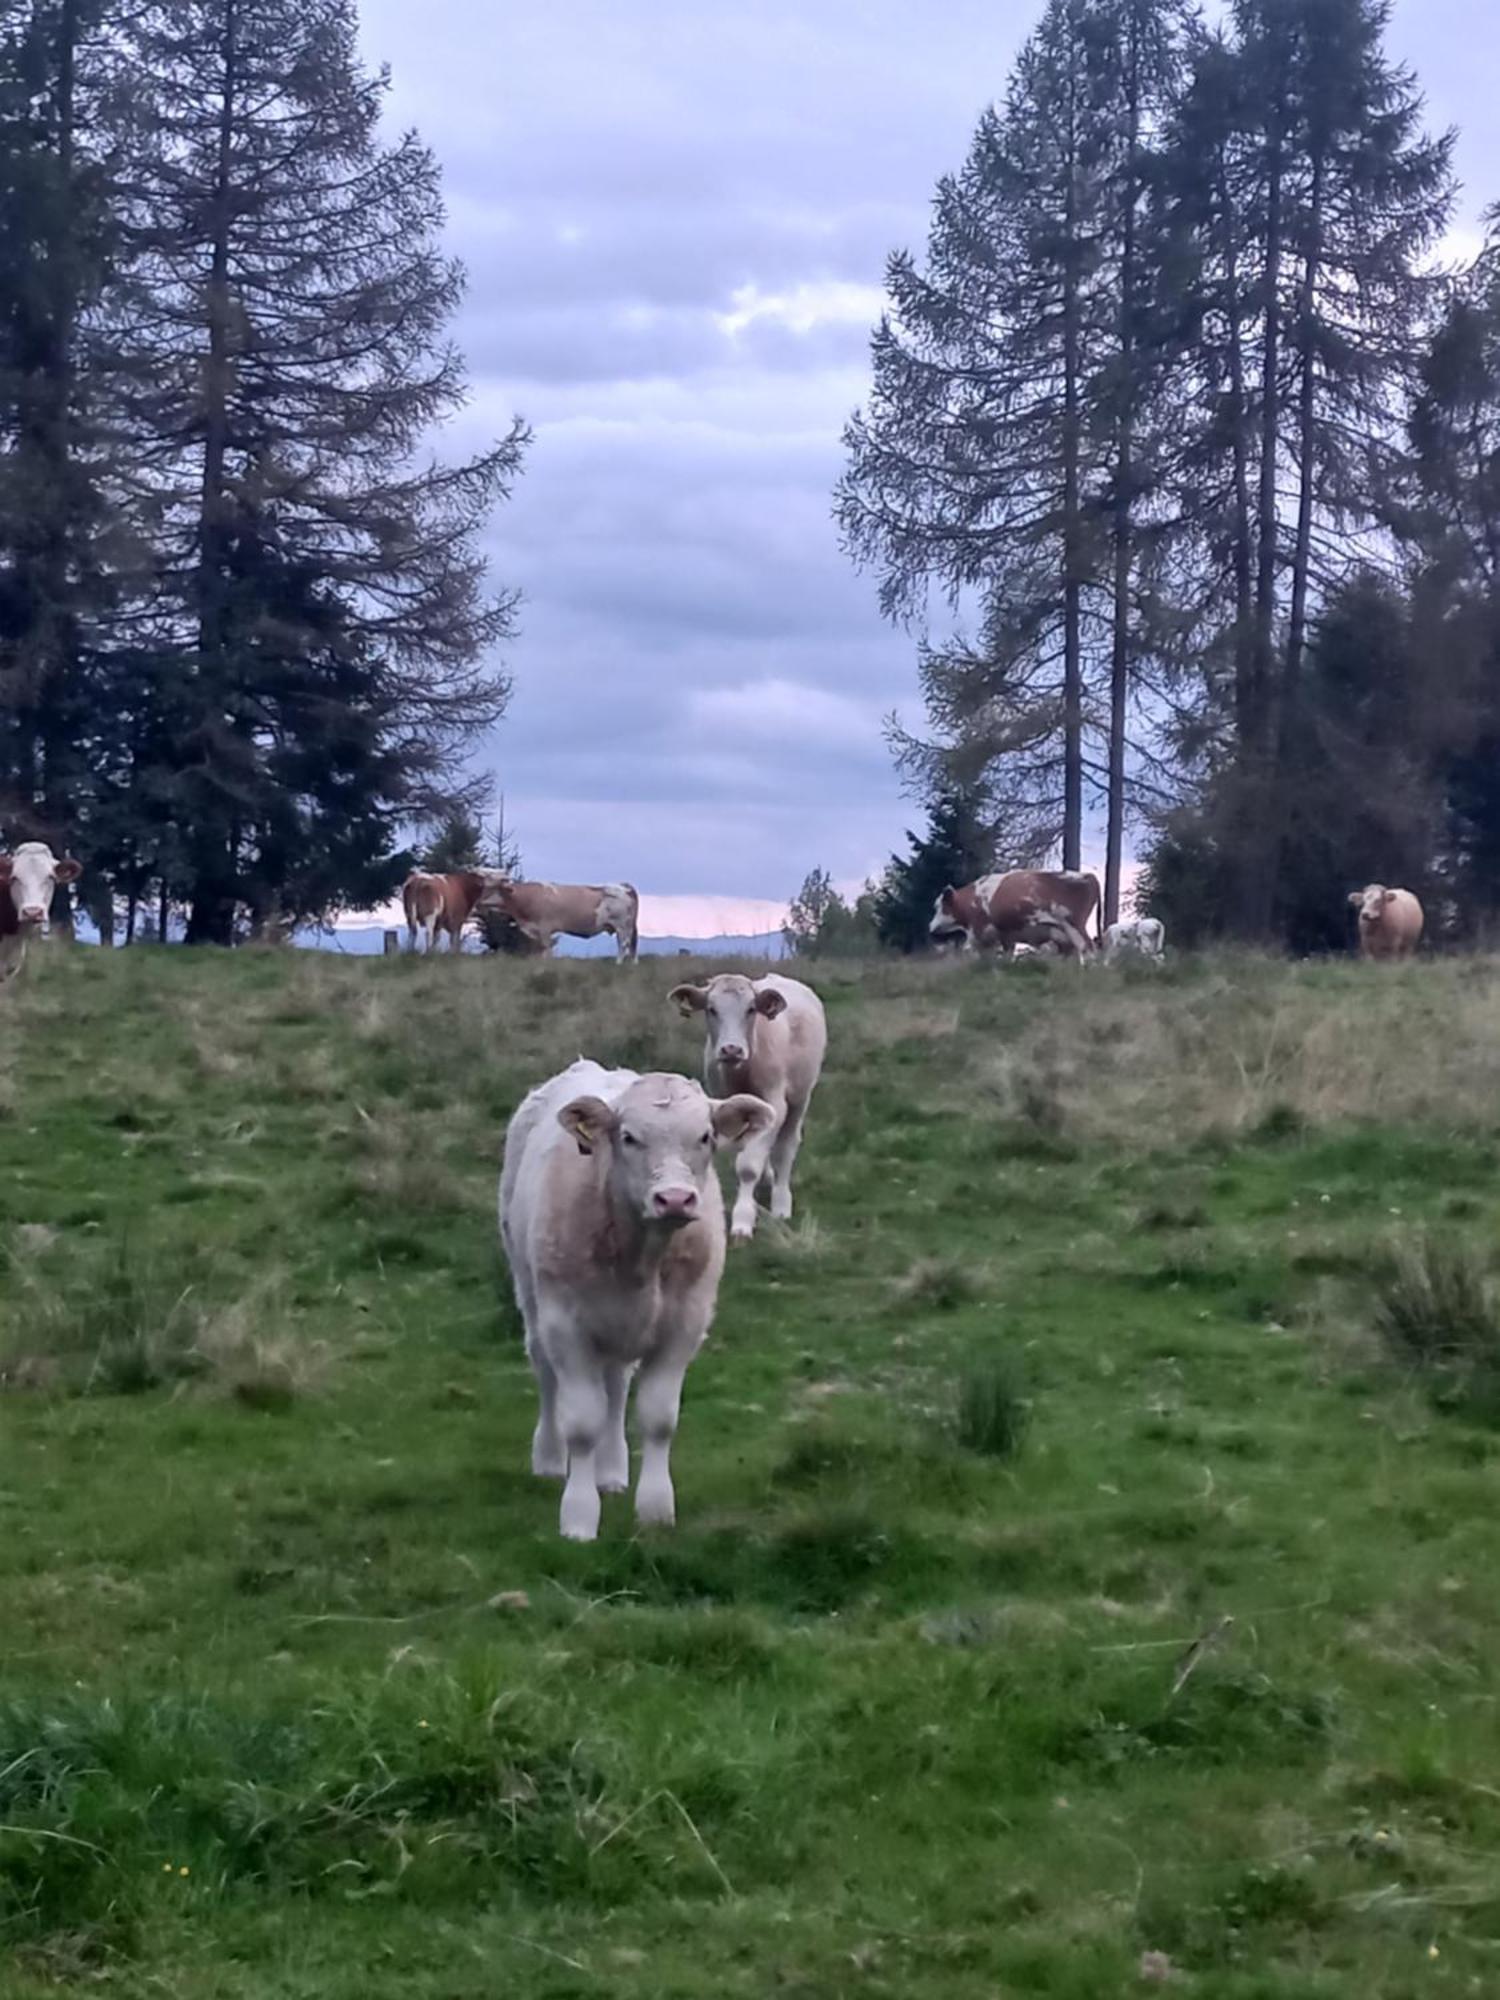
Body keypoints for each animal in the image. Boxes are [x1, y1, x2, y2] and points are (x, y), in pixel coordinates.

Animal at [488, 880, 640, 964]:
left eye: (491, 888)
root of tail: (623, 886)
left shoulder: (545, 927)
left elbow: (546, 947)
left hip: (622, 925)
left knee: (624, 944)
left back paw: (618, 963)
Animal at [672, 972, 828, 1240]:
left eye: (751, 1009)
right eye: (712, 1009)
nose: (731, 1049)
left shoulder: (776, 1104)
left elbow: (748, 1166)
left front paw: (743, 1220)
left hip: (800, 1098)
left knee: (786, 1147)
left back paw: (781, 1202)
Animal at [928, 868, 1104, 960]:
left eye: (938, 906)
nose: (930, 927)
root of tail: (1087, 875)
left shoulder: (979, 932)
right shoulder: (1006, 936)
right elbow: (1006, 955)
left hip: (1075, 926)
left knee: (1087, 948)